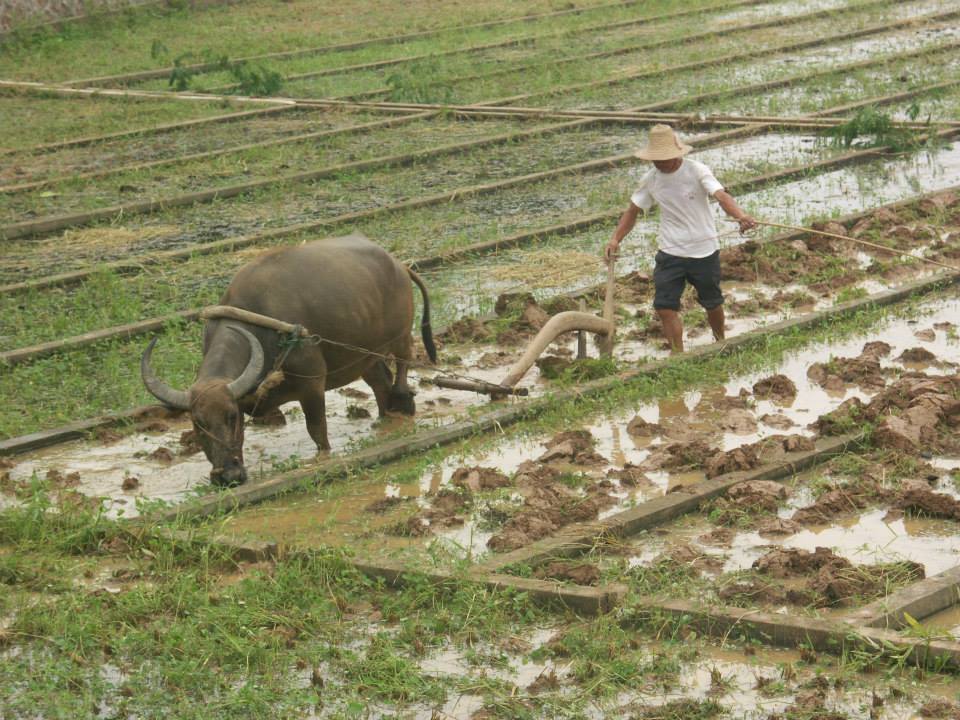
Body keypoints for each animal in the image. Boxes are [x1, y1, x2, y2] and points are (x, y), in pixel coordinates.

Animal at [141, 233, 436, 486]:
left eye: (231, 416)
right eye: (198, 423)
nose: (228, 477)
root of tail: (398, 265)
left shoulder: (312, 386)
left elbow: (317, 431)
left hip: (400, 336)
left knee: (402, 365)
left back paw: (402, 400)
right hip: (364, 355)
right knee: (379, 383)